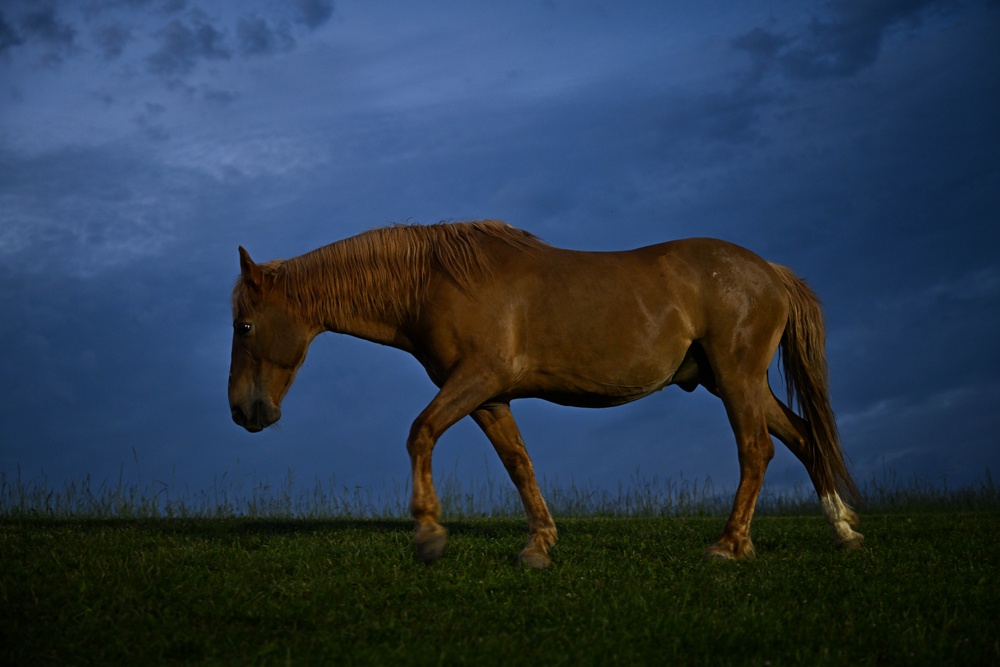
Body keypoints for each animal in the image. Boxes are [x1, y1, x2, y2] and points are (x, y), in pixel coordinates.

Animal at [230, 222, 864, 568]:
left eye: (245, 326)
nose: (243, 411)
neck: (436, 282)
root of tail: (769, 271)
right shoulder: (488, 397)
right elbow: (519, 463)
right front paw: (539, 545)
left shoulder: (476, 380)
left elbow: (421, 432)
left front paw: (429, 534)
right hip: (736, 382)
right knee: (804, 438)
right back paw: (843, 530)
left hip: (736, 380)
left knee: (758, 451)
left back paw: (729, 546)